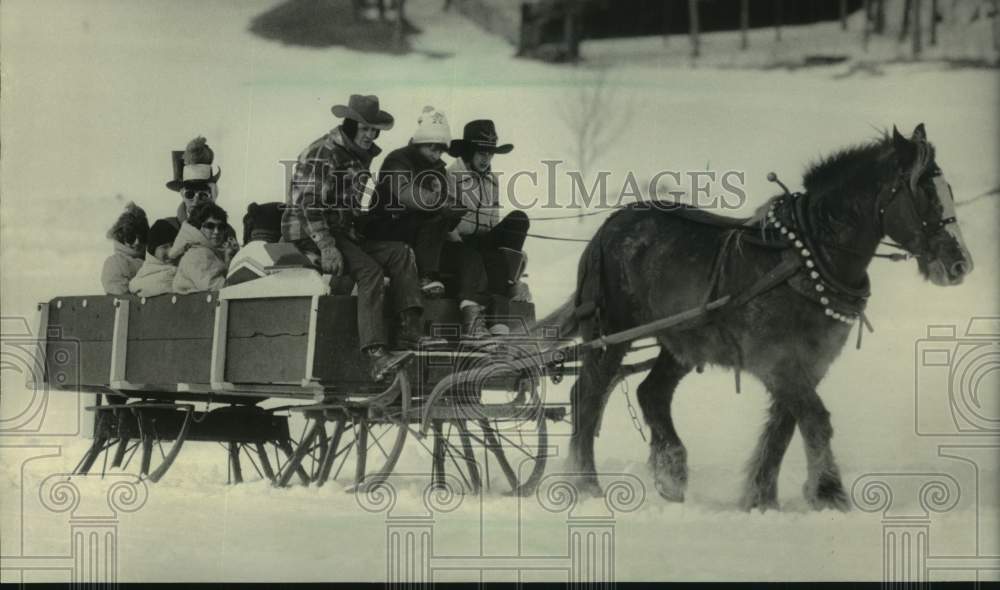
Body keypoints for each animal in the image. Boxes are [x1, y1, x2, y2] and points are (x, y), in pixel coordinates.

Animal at [544, 125, 972, 512]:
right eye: (925, 193)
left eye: (947, 190)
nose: (960, 264)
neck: (805, 257)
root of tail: (608, 228)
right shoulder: (777, 361)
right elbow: (815, 419)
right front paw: (829, 494)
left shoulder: (808, 362)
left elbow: (784, 426)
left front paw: (761, 499)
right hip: (610, 335)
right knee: (587, 397)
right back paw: (587, 488)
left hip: (679, 341)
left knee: (652, 393)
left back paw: (671, 475)